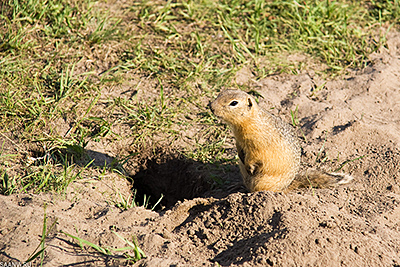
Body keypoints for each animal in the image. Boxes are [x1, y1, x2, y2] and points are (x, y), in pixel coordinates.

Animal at [209, 89, 354, 193]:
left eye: (234, 103)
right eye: (220, 93)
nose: (211, 107)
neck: (247, 122)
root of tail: (286, 187)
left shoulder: (258, 145)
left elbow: (255, 156)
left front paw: (250, 166)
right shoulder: (239, 140)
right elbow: (239, 148)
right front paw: (241, 156)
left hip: (262, 182)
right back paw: (237, 186)